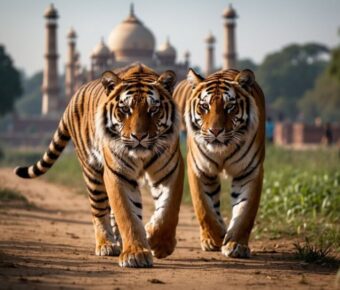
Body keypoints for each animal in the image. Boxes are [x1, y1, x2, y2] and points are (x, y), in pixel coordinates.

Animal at [13, 63, 183, 268]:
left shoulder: (171, 171)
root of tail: (73, 98)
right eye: (125, 109)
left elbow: (168, 211)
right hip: (92, 172)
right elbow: (127, 215)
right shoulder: (117, 175)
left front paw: (160, 244)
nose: (139, 136)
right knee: (99, 211)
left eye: (153, 110)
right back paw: (106, 245)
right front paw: (135, 254)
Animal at [175, 68, 266, 258]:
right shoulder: (199, 169)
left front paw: (236, 245)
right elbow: (204, 208)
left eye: (230, 107)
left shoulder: (249, 171)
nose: (215, 131)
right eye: (204, 107)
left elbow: (245, 211)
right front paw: (215, 238)